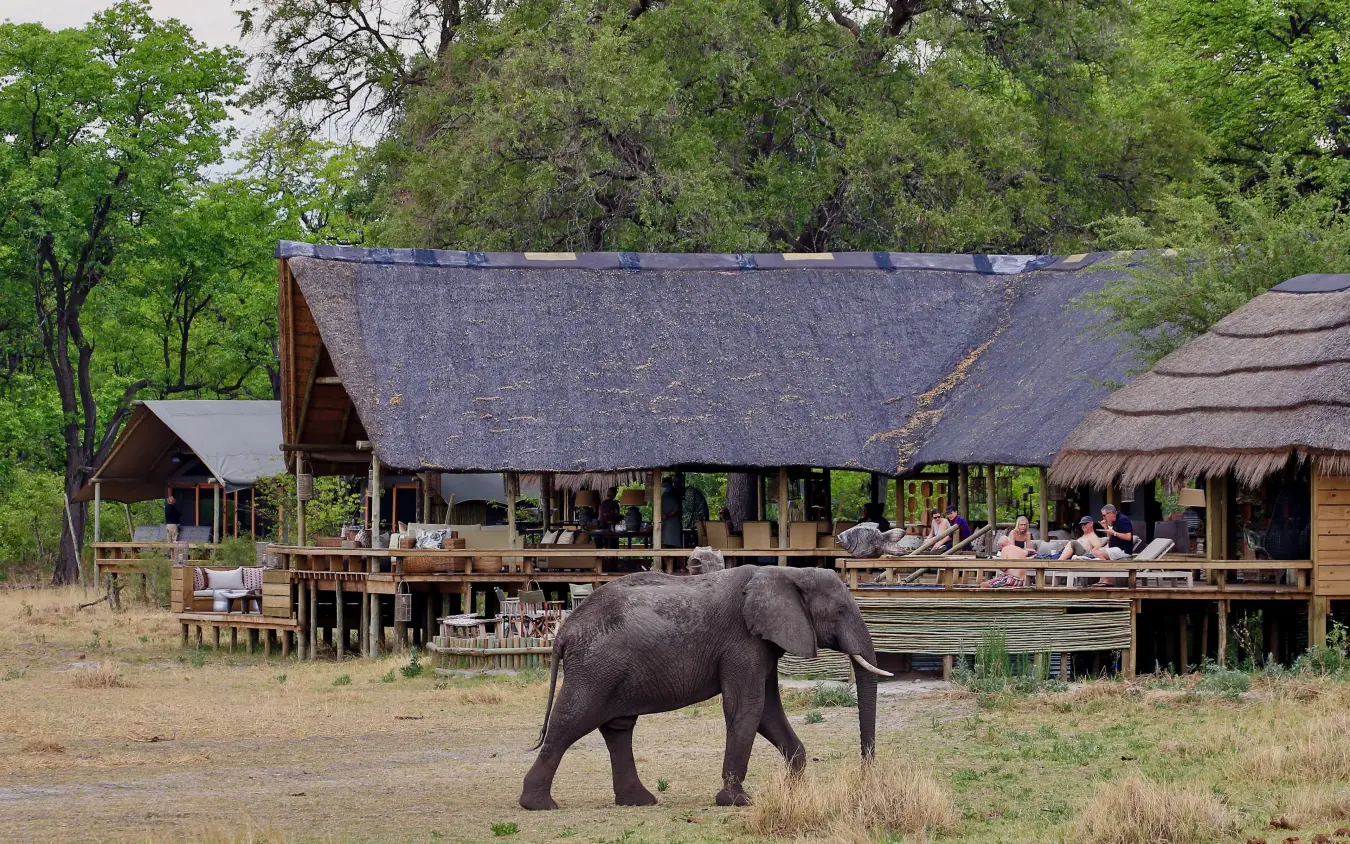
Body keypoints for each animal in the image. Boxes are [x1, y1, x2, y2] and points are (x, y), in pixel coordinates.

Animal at [518, 565, 891, 811]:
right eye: (840, 610)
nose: (865, 777)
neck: (789, 573)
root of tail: (563, 632)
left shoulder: (762, 643)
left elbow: (767, 711)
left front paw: (792, 791)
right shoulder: (743, 641)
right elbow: (748, 707)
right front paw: (738, 802)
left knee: (618, 728)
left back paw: (639, 802)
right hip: (595, 667)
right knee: (572, 721)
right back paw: (538, 805)